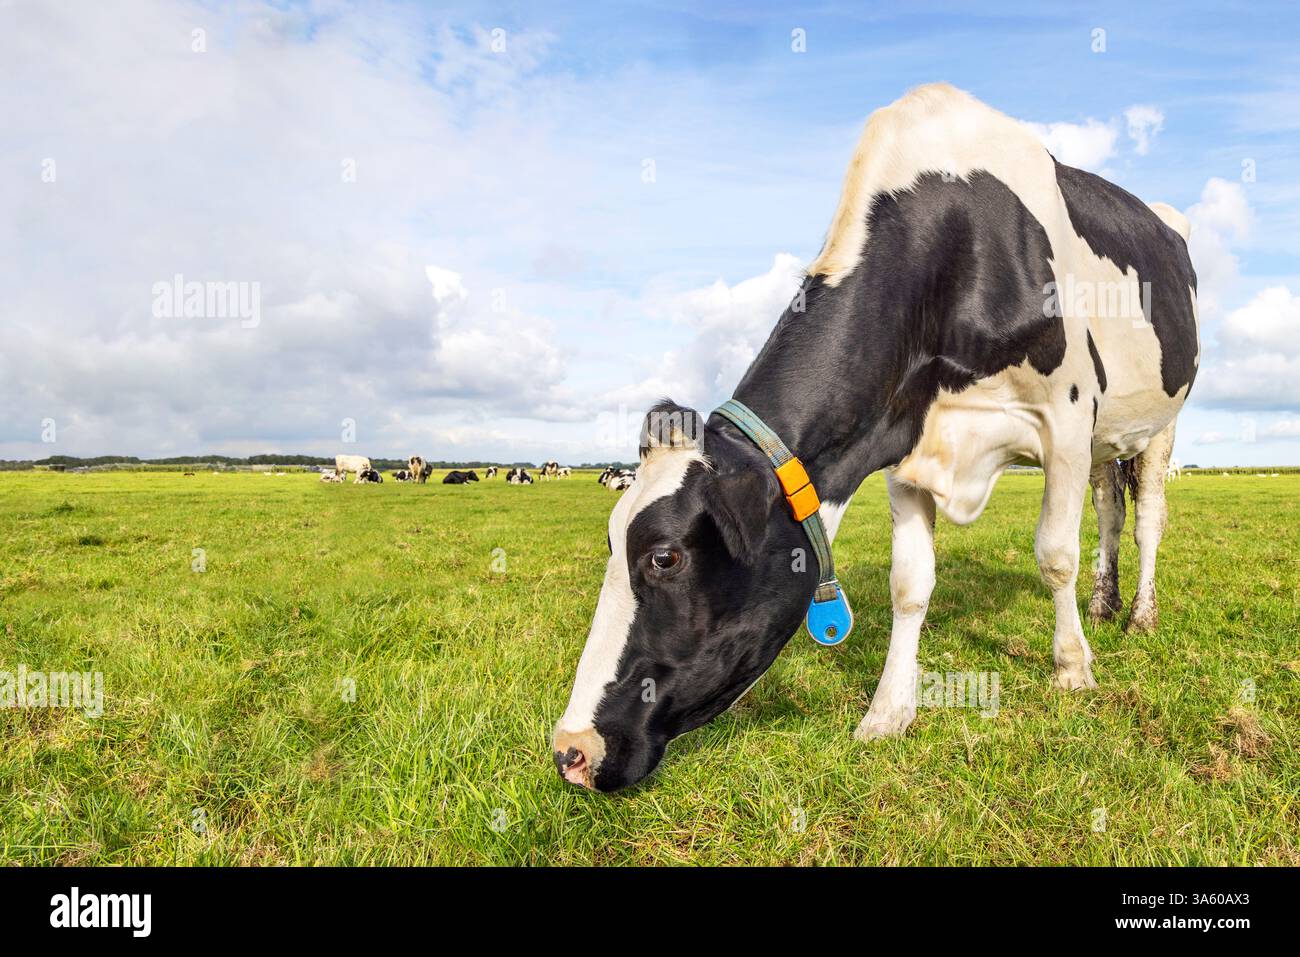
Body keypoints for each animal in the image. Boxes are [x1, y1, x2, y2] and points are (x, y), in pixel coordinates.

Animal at [552, 84, 1199, 792]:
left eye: (664, 557)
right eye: (612, 538)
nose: (570, 750)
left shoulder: (1067, 420)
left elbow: (1055, 553)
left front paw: (1073, 669)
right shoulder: (903, 440)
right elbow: (909, 583)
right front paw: (889, 711)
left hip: (1162, 423)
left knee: (1147, 518)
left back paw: (1139, 614)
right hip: (1111, 439)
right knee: (1111, 509)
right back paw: (1104, 604)